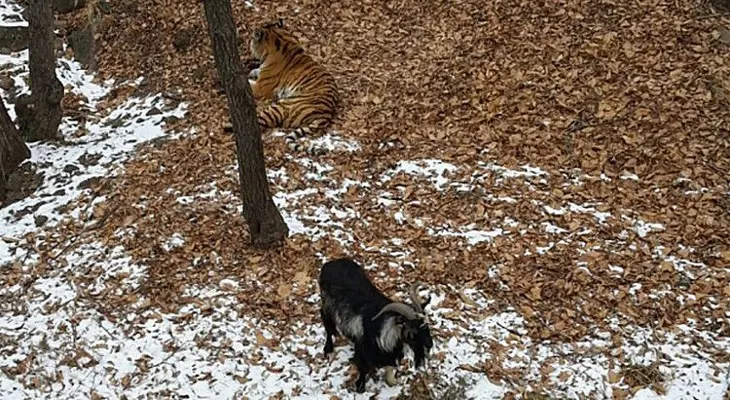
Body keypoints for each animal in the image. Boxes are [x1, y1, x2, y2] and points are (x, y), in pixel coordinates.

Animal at [246, 19, 339, 153]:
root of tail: (326, 115)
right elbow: (255, 71)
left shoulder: (261, 87)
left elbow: (250, 83)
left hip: (282, 106)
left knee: (260, 121)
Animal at [318, 257, 433, 393]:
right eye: (412, 331)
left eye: (427, 326)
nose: (429, 345)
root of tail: (330, 263)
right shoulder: (363, 351)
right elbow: (363, 368)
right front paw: (360, 387)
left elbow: (389, 370)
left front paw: (392, 382)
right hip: (327, 305)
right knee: (326, 322)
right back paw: (328, 349)